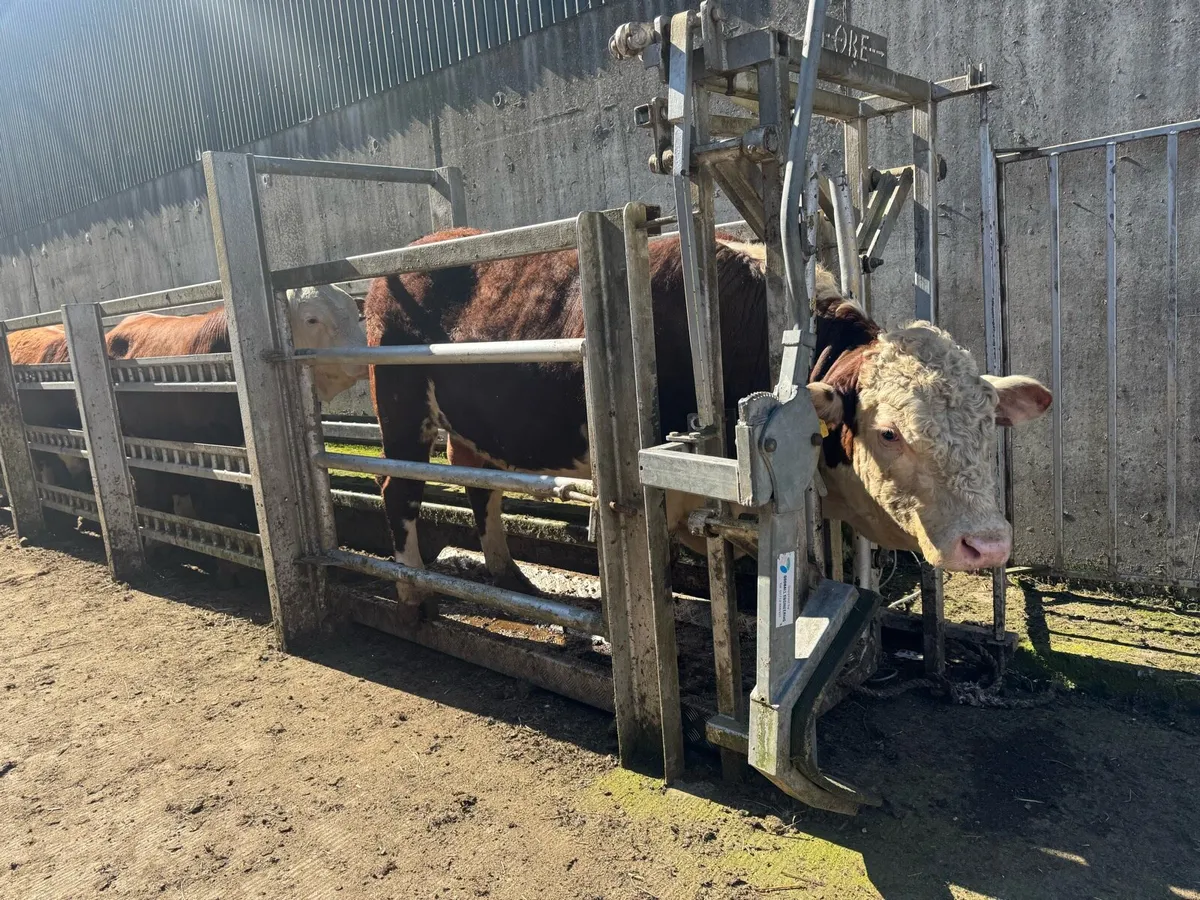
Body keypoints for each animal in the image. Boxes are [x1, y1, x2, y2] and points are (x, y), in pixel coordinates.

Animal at [364, 228, 1052, 614]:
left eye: (989, 426)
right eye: (888, 433)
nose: (989, 545)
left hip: (473, 427)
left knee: (481, 492)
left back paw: (508, 579)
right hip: (399, 404)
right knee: (399, 490)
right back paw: (414, 591)